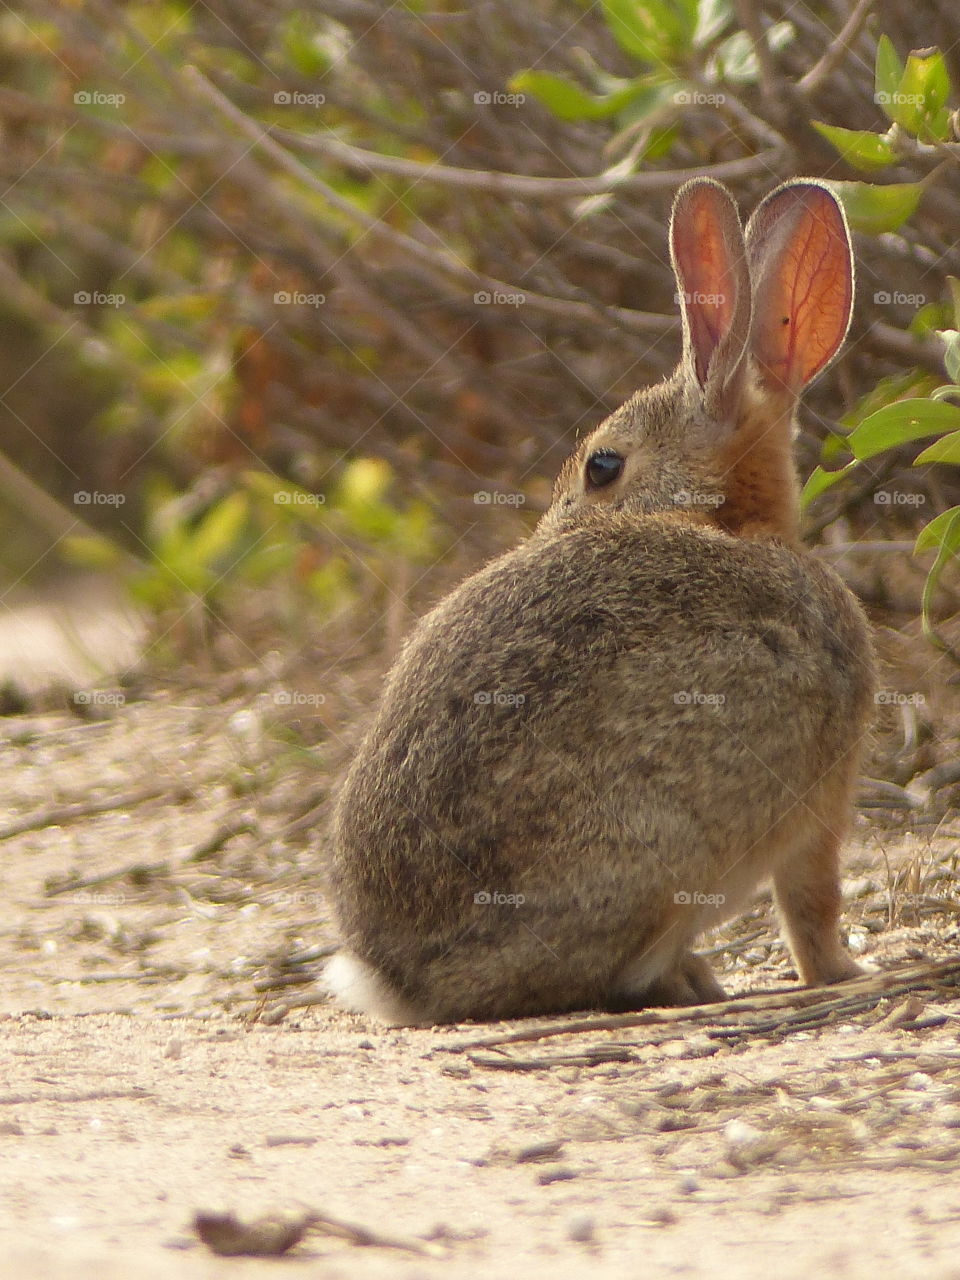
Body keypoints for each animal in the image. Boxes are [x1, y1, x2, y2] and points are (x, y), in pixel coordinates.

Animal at [325, 175, 880, 1024]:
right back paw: (687, 981)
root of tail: (395, 978)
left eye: (602, 467)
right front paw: (845, 973)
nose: (553, 527)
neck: (735, 523)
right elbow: (811, 905)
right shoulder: (821, 803)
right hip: (662, 853)